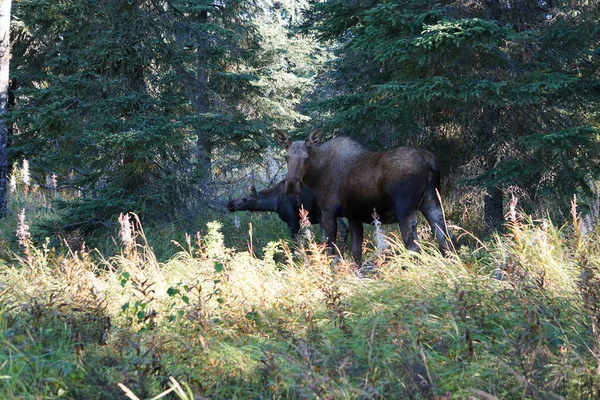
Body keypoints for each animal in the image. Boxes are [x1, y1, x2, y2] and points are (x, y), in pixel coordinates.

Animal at [276, 130, 450, 264]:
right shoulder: (353, 215)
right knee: (445, 238)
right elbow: (356, 251)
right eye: (286, 157)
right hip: (431, 201)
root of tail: (431, 163)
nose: (291, 184)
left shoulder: (328, 211)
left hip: (405, 209)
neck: (316, 175)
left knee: (414, 247)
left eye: (306, 158)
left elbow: (330, 249)